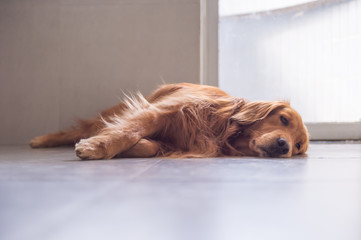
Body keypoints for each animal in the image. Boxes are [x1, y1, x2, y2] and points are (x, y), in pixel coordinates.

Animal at [29, 83, 308, 159]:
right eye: (283, 119)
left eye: (298, 147)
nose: (284, 146)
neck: (223, 129)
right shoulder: (159, 111)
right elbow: (128, 131)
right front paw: (96, 147)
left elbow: (150, 146)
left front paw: (134, 149)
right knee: (74, 130)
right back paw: (40, 140)